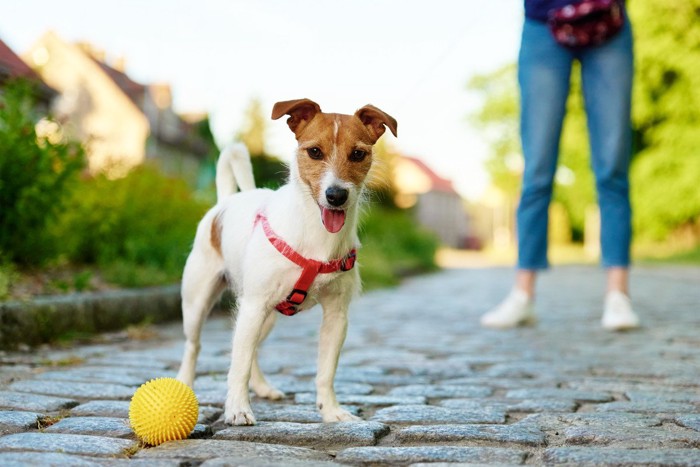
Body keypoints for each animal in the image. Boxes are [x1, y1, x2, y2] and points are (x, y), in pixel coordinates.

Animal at [175, 99, 400, 428]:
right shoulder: (254, 305)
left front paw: (331, 411)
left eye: (358, 154)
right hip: (199, 304)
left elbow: (325, 371)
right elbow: (238, 365)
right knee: (195, 346)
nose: (336, 195)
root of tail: (226, 201)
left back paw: (263, 387)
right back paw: (185, 384)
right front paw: (237, 409)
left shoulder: (336, 315)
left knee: (251, 349)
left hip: (265, 316)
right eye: (314, 151)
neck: (318, 237)